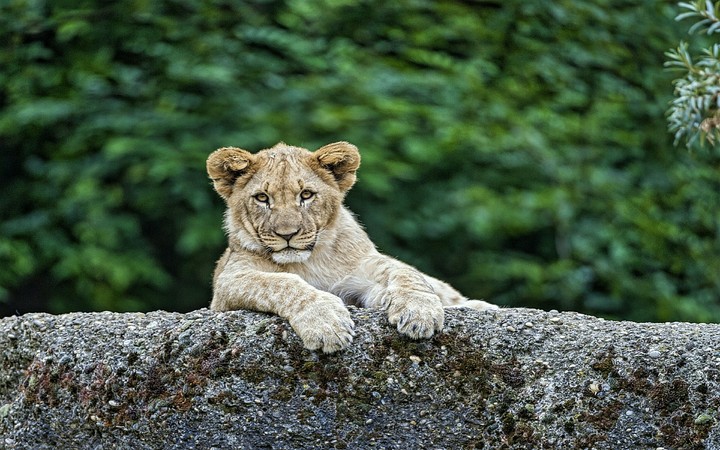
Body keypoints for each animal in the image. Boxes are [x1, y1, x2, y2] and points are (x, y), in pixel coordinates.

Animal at [207, 141, 496, 353]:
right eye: (262, 198)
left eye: (306, 195)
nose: (287, 234)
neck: (308, 261)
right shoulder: (227, 284)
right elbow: (282, 283)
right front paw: (325, 323)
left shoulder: (363, 265)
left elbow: (404, 272)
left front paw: (418, 310)